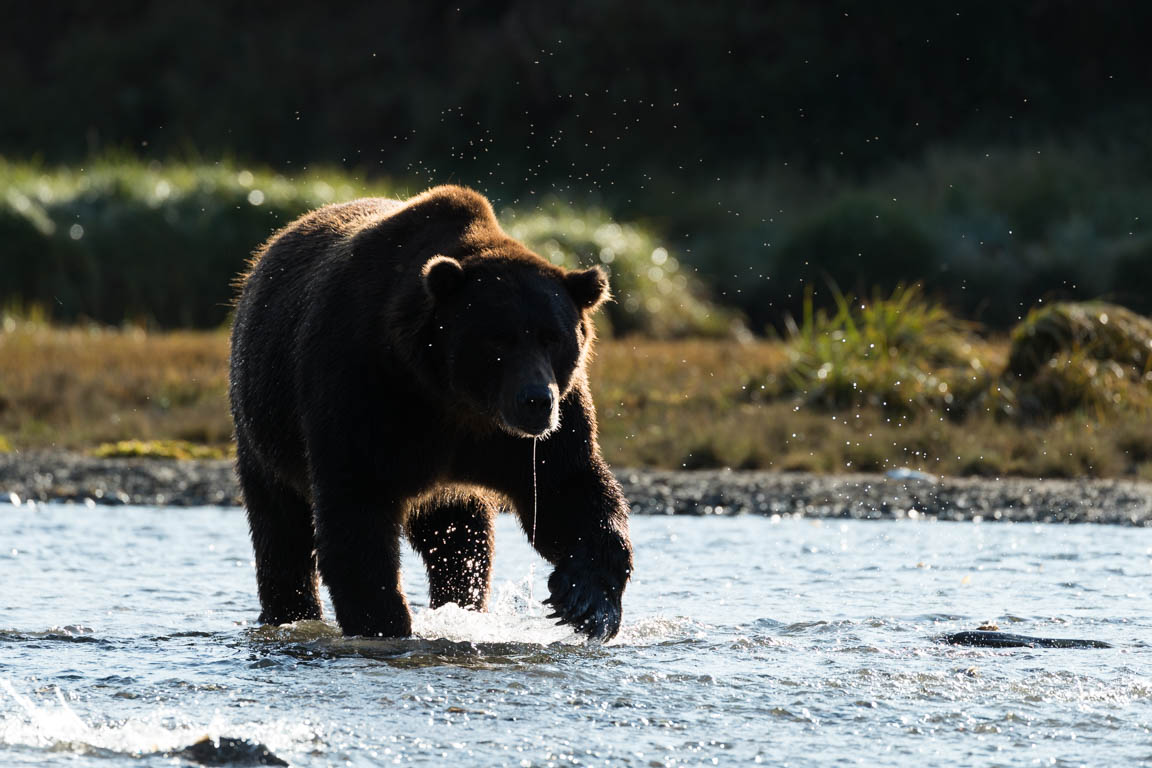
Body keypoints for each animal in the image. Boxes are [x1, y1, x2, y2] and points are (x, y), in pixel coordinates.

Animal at [229, 186, 635, 644]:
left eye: (554, 338)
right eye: (500, 339)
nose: (536, 400)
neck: (450, 398)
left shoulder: (526, 438)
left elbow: (567, 490)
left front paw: (587, 599)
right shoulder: (361, 391)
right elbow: (355, 513)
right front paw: (384, 622)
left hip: (449, 489)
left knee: (461, 540)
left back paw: (461, 602)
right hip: (262, 424)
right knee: (280, 528)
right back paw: (289, 613)